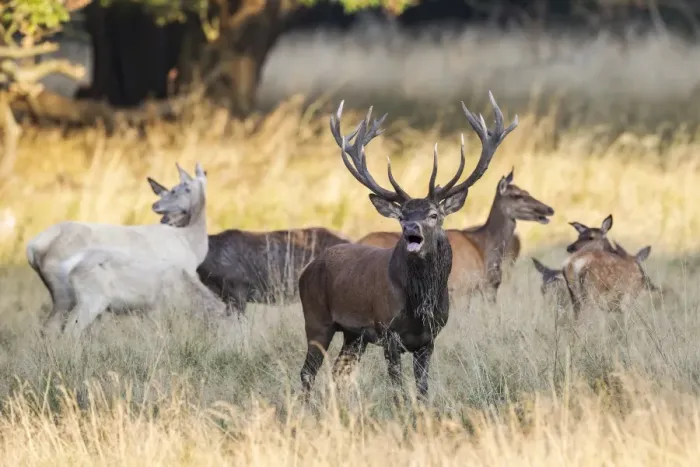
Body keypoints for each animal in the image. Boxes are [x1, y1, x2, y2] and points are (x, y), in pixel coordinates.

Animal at [25, 162, 212, 335]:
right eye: (174, 189)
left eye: (182, 189)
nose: (156, 206)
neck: (191, 244)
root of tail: (33, 247)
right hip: (66, 293)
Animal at [298, 92, 518, 405]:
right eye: (402, 216)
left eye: (433, 214)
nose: (411, 228)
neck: (420, 304)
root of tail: (307, 270)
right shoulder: (388, 333)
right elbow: (398, 390)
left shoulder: (429, 339)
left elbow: (423, 389)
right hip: (317, 319)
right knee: (307, 372)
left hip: (354, 335)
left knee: (341, 372)